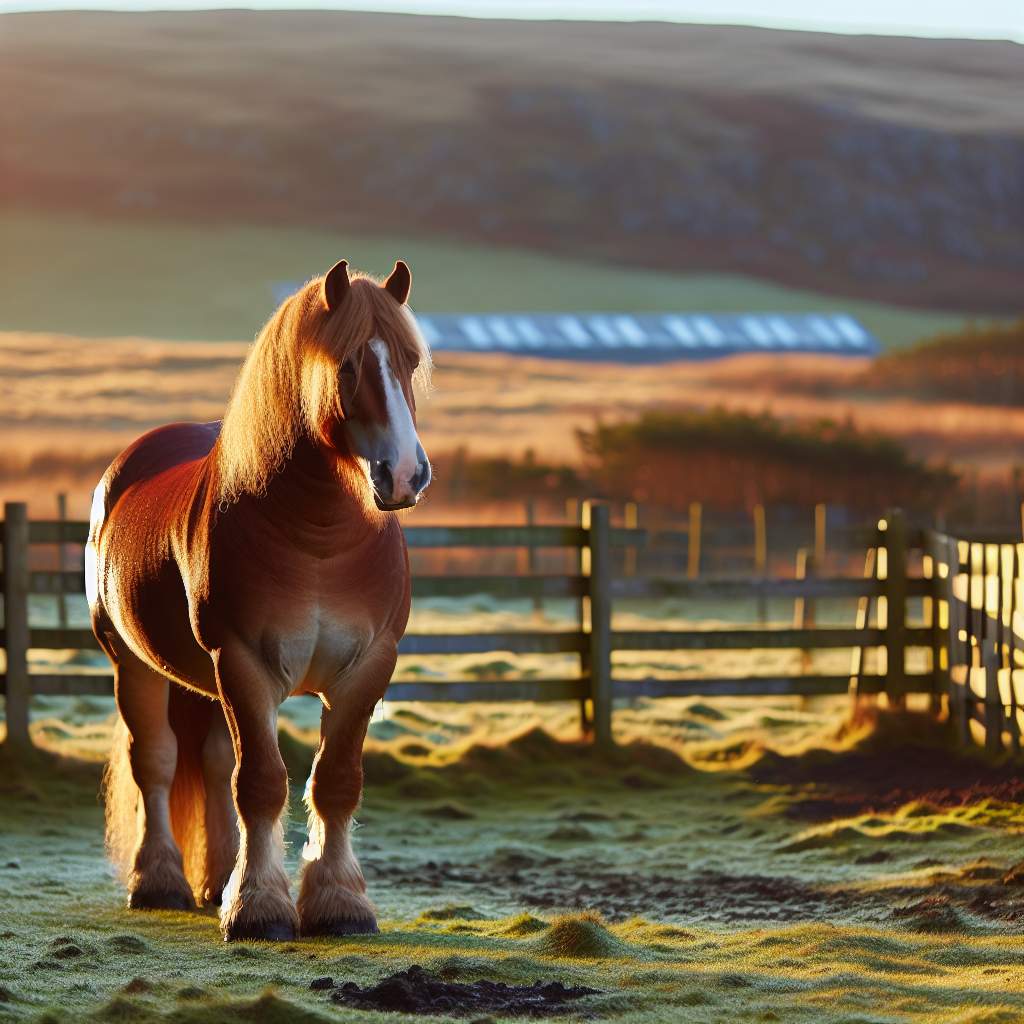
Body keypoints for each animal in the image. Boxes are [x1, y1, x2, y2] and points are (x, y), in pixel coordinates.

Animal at [87, 260, 432, 937]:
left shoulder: (368, 668)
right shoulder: (243, 663)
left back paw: (217, 878)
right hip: (134, 667)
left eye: (409, 360)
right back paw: (160, 882)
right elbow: (264, 784)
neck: (318, 542)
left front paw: (340, 905)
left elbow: (335, 781)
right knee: (157, 763)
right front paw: (258, 908)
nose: (405, 473)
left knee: (214, 763)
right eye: (348, 365)